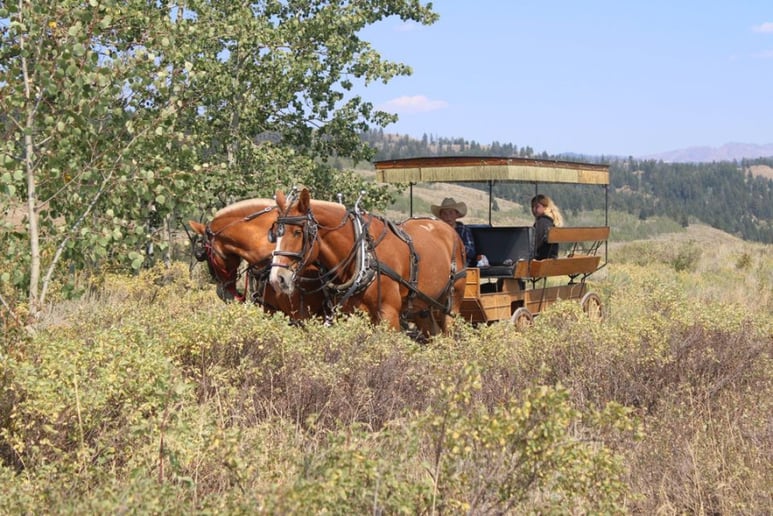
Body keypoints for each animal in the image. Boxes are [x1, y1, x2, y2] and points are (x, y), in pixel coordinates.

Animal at [268, 188, 467, 338]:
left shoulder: (388, 314)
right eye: (275, 233)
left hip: (451, 305)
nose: (277, 278)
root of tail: (449, 230)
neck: (363, 254)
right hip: (423, 307)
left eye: (297, 232)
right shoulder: (349, 315)